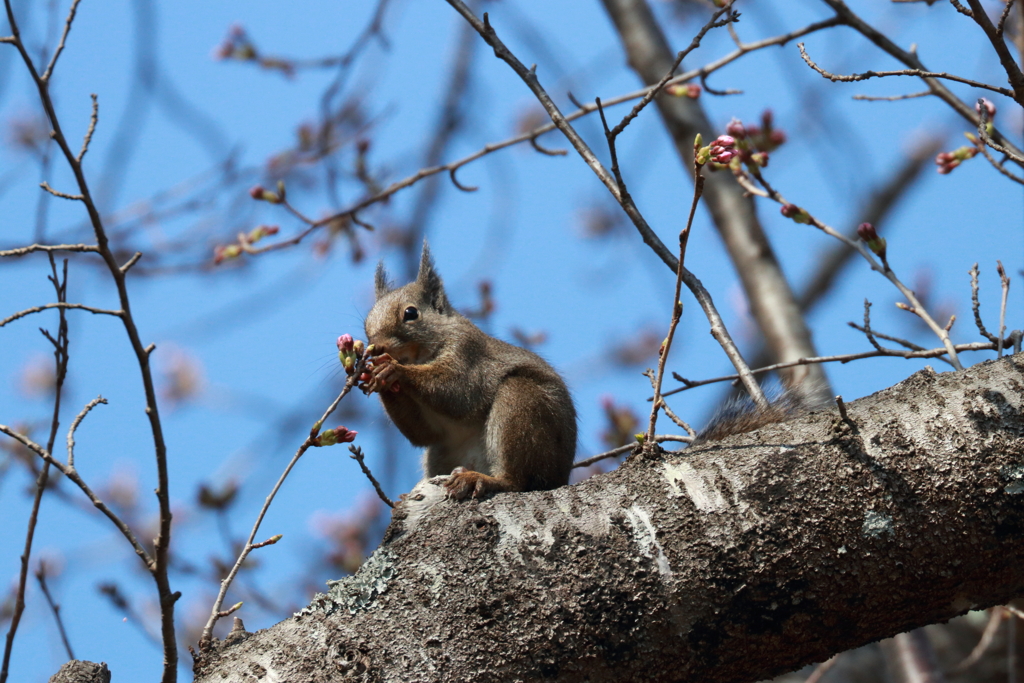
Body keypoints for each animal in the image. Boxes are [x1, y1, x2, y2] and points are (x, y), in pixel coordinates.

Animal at [366, 242, 577, 499]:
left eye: (411, 313)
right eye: (366, 323)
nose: (377, 348)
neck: (419, 357)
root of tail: (561, 478)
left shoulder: (468, 352)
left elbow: (459, 391)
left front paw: (394, 368)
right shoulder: (434, 433)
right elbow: (424, 434)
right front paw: (378, 378)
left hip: (522, 406)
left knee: (517, 481)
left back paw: (483, 479)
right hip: (440, 454)